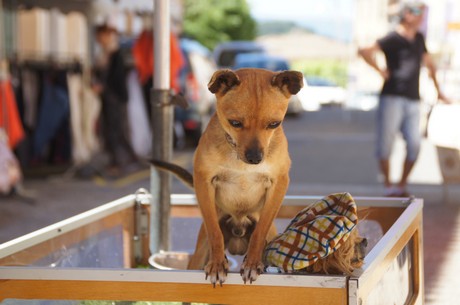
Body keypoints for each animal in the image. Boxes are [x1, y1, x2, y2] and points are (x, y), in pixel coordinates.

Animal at [153, 68, 304, 284]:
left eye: (275, 124)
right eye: (235, 123)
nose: (255, 158)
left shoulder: (279, 184)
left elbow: (260, 232)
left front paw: (252, 264)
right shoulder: (204, 182)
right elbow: (215, 232)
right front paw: (217, 264)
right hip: (199, 254)